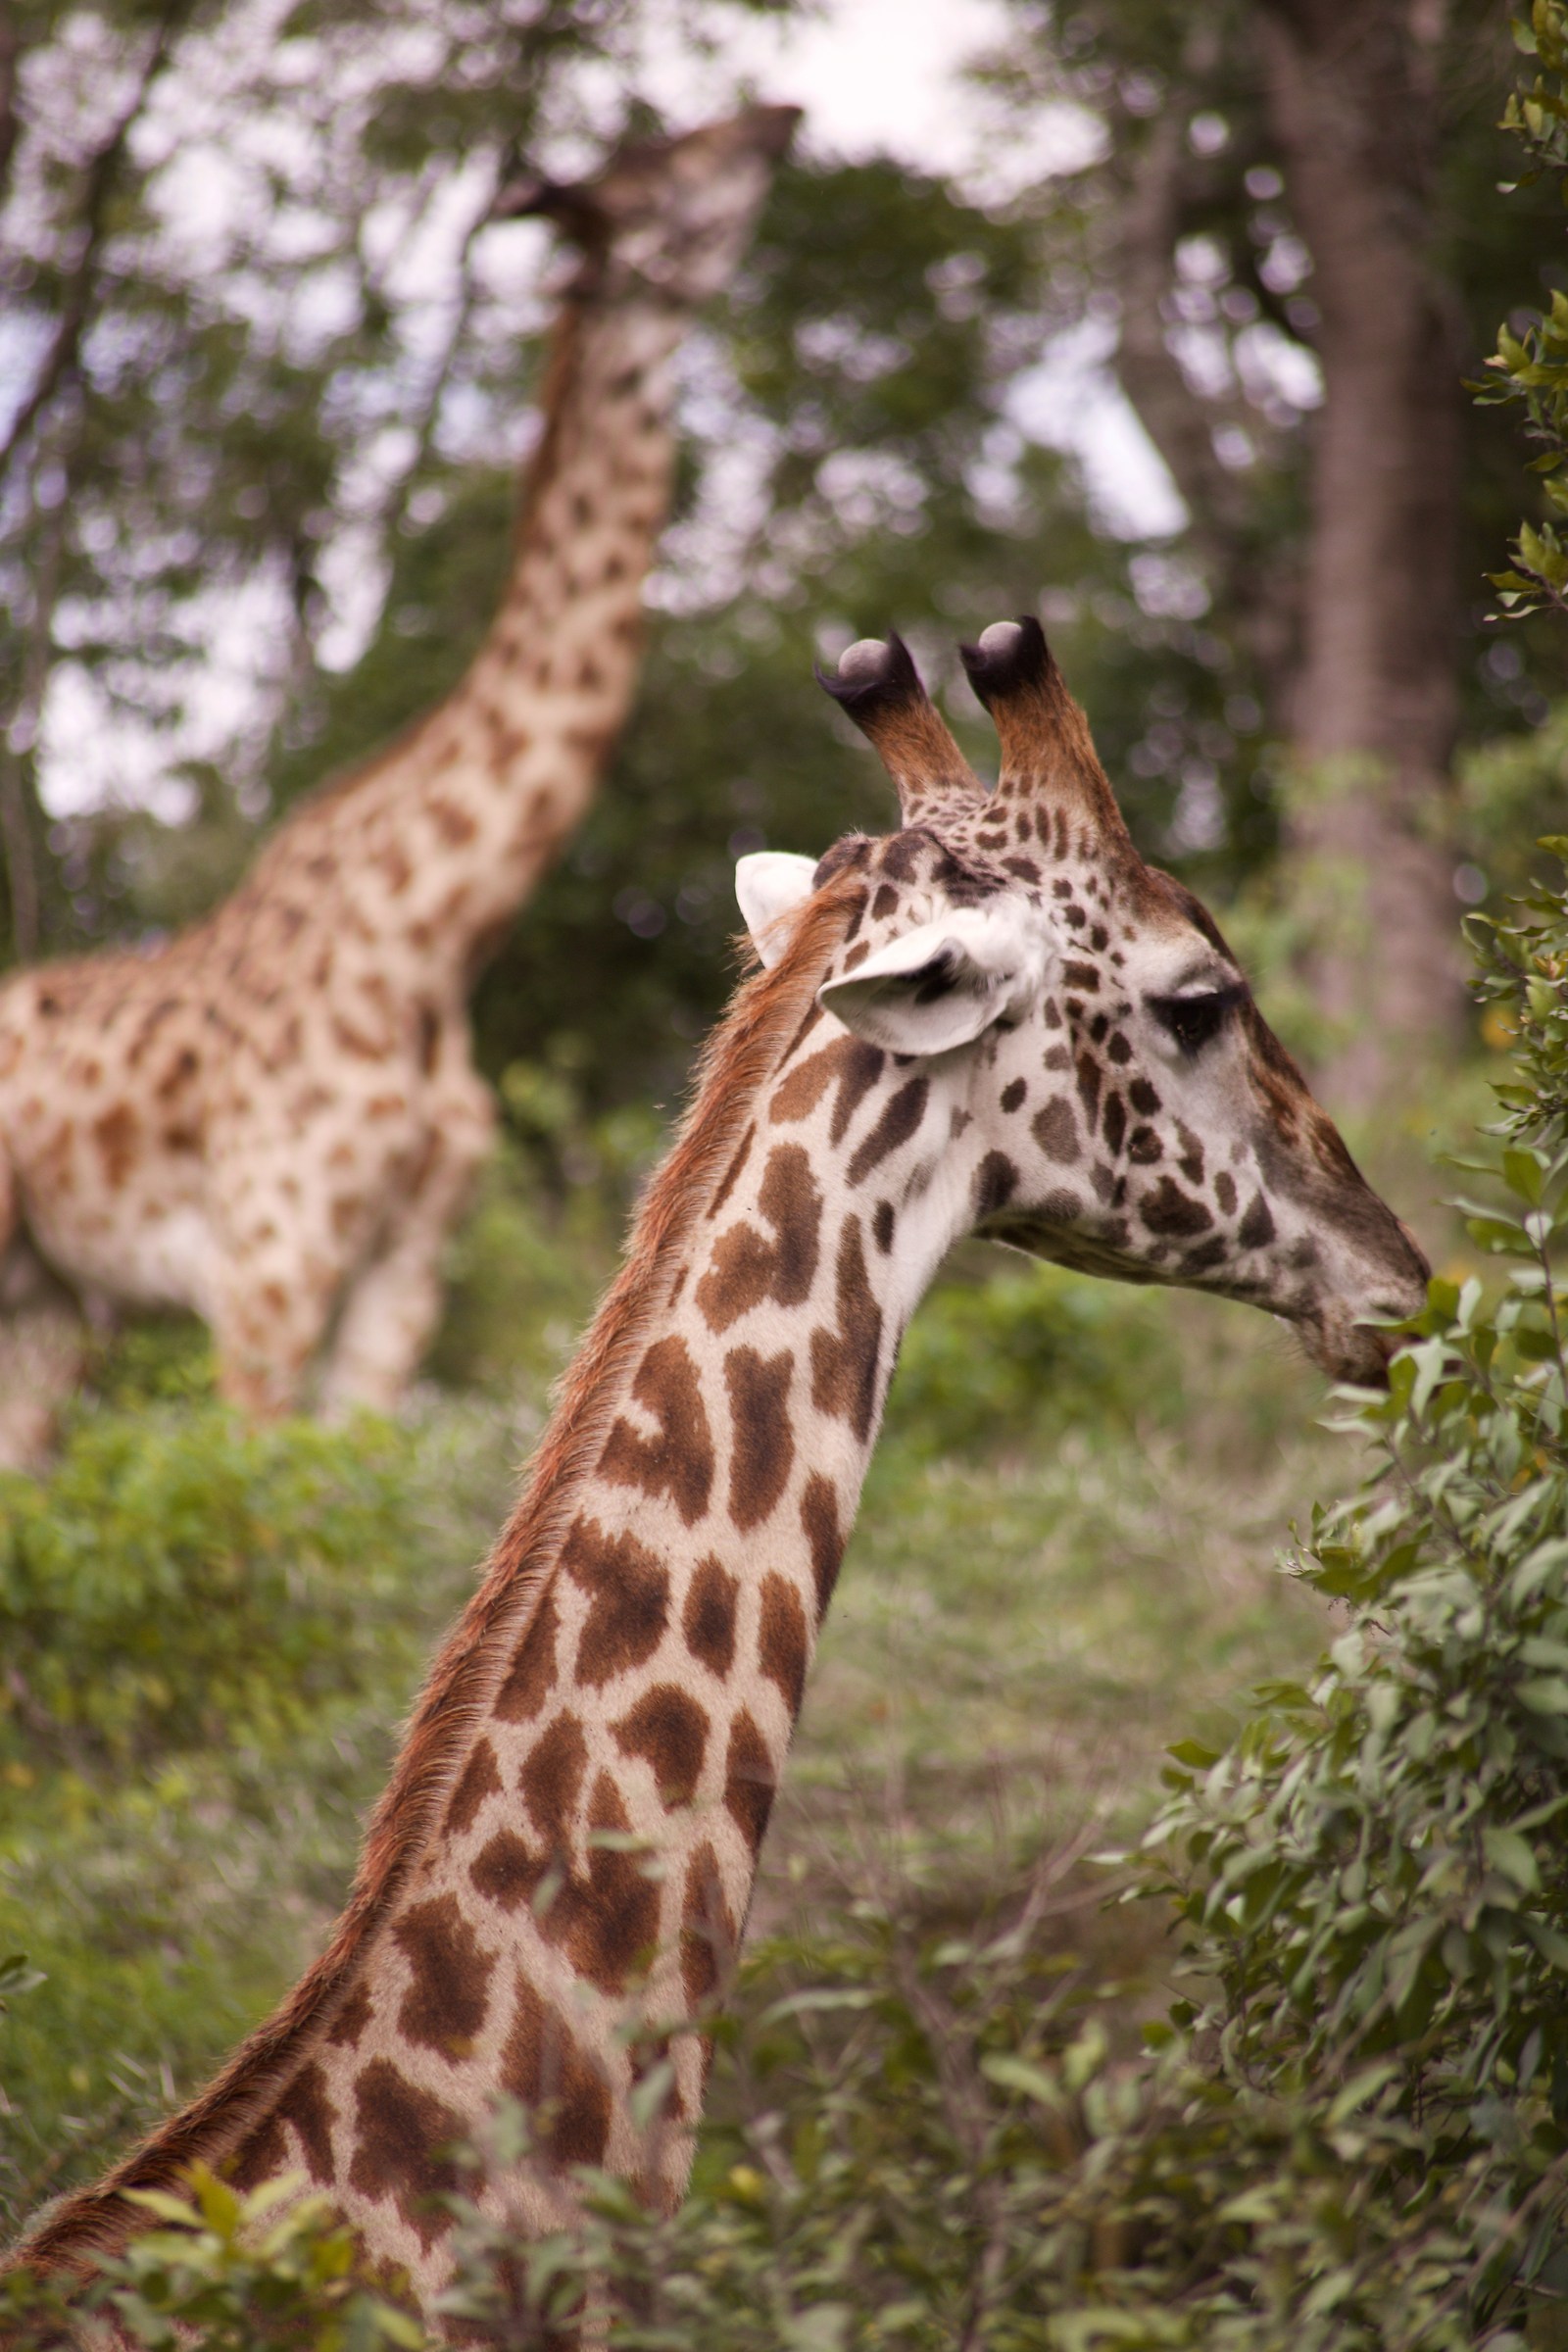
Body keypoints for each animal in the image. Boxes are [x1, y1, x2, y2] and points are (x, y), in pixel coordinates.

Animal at [0, 102, 797, 1444]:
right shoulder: (268, 1262)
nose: (779, 119)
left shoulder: (404, 1269)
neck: (434, 931)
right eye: (666, 168)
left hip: (51, 1295)